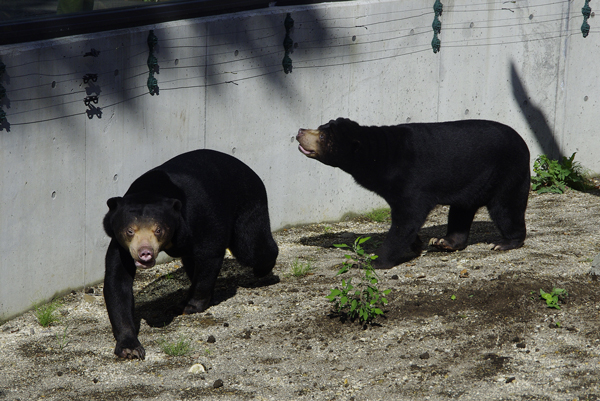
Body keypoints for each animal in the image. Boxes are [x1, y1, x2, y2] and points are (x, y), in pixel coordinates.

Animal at [103, 148, 278, 358]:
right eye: (130, 231)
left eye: (158, 230)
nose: (145, 253)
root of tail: (248, 168)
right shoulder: (120, 245)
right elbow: (117, 282)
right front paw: (130, 348)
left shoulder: (200, 214)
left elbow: (210, 252)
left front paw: (190, 306)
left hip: (248, 201)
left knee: (251, 247)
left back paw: (263, 271)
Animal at [296, 118, 528, 268]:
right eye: (320, 127)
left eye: (322, 135)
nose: (299, 131)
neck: (379, 157)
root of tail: (522, 140)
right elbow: (406, 221)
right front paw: (416, 244)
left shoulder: (411, 181)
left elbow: (408, 217)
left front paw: (373, 261)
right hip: (471, 181)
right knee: (461, 211)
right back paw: (445, 242)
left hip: (506, 172)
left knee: (506, 207)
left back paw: (505, 242)